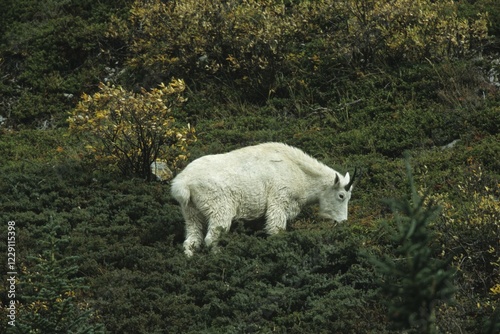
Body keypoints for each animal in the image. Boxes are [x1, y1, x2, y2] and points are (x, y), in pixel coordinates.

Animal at [170, 142, 358, 258]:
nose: (343, 221)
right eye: (341, 196)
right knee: (211, 238)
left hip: (191, 212)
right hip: (219, 208)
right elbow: (275, 230)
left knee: (191, 240)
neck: (300, 173)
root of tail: (183, 183)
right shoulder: (279, 201)